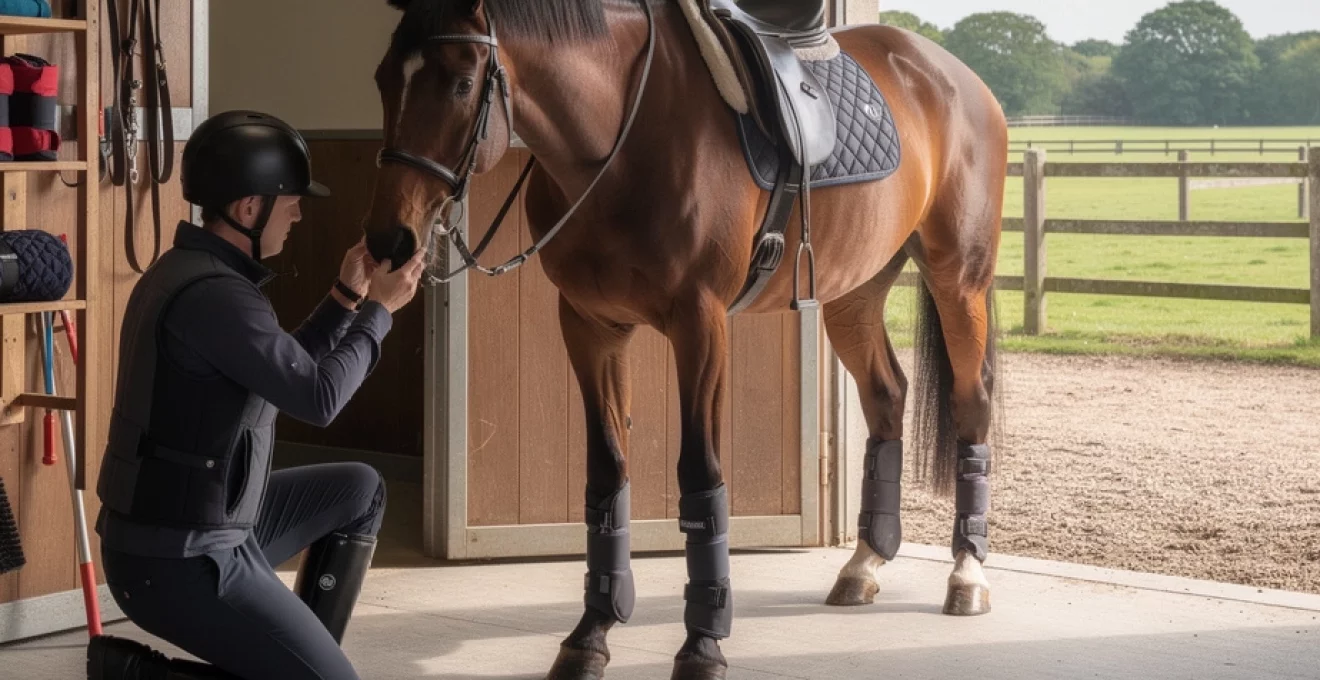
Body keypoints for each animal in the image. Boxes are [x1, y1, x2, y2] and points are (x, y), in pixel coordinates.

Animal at [363, 1, 1007, 678]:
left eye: (462, 83)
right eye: (383, 79)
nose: (390, 241)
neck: (623, 139)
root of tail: (952, 74)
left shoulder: (700, 322)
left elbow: (701, 476)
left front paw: (702, 643)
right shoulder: (590, 326)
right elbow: (606, 473)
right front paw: (591, 633)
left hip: (958, 278)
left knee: (972, 401)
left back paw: (967, 574)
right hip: (854, 291)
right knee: (886, 394)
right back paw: (863, 563)